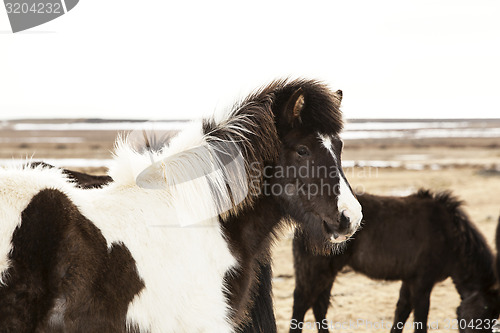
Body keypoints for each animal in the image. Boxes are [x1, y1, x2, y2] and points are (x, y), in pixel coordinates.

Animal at [292, 189, 498, 332]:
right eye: (484, 315)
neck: (448, 235)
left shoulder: (410, 281)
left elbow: (401, 314)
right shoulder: (422, 284)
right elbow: (420, 319)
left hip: (328, 273)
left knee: (319, 306)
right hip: (315, 271)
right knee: (301, 303)